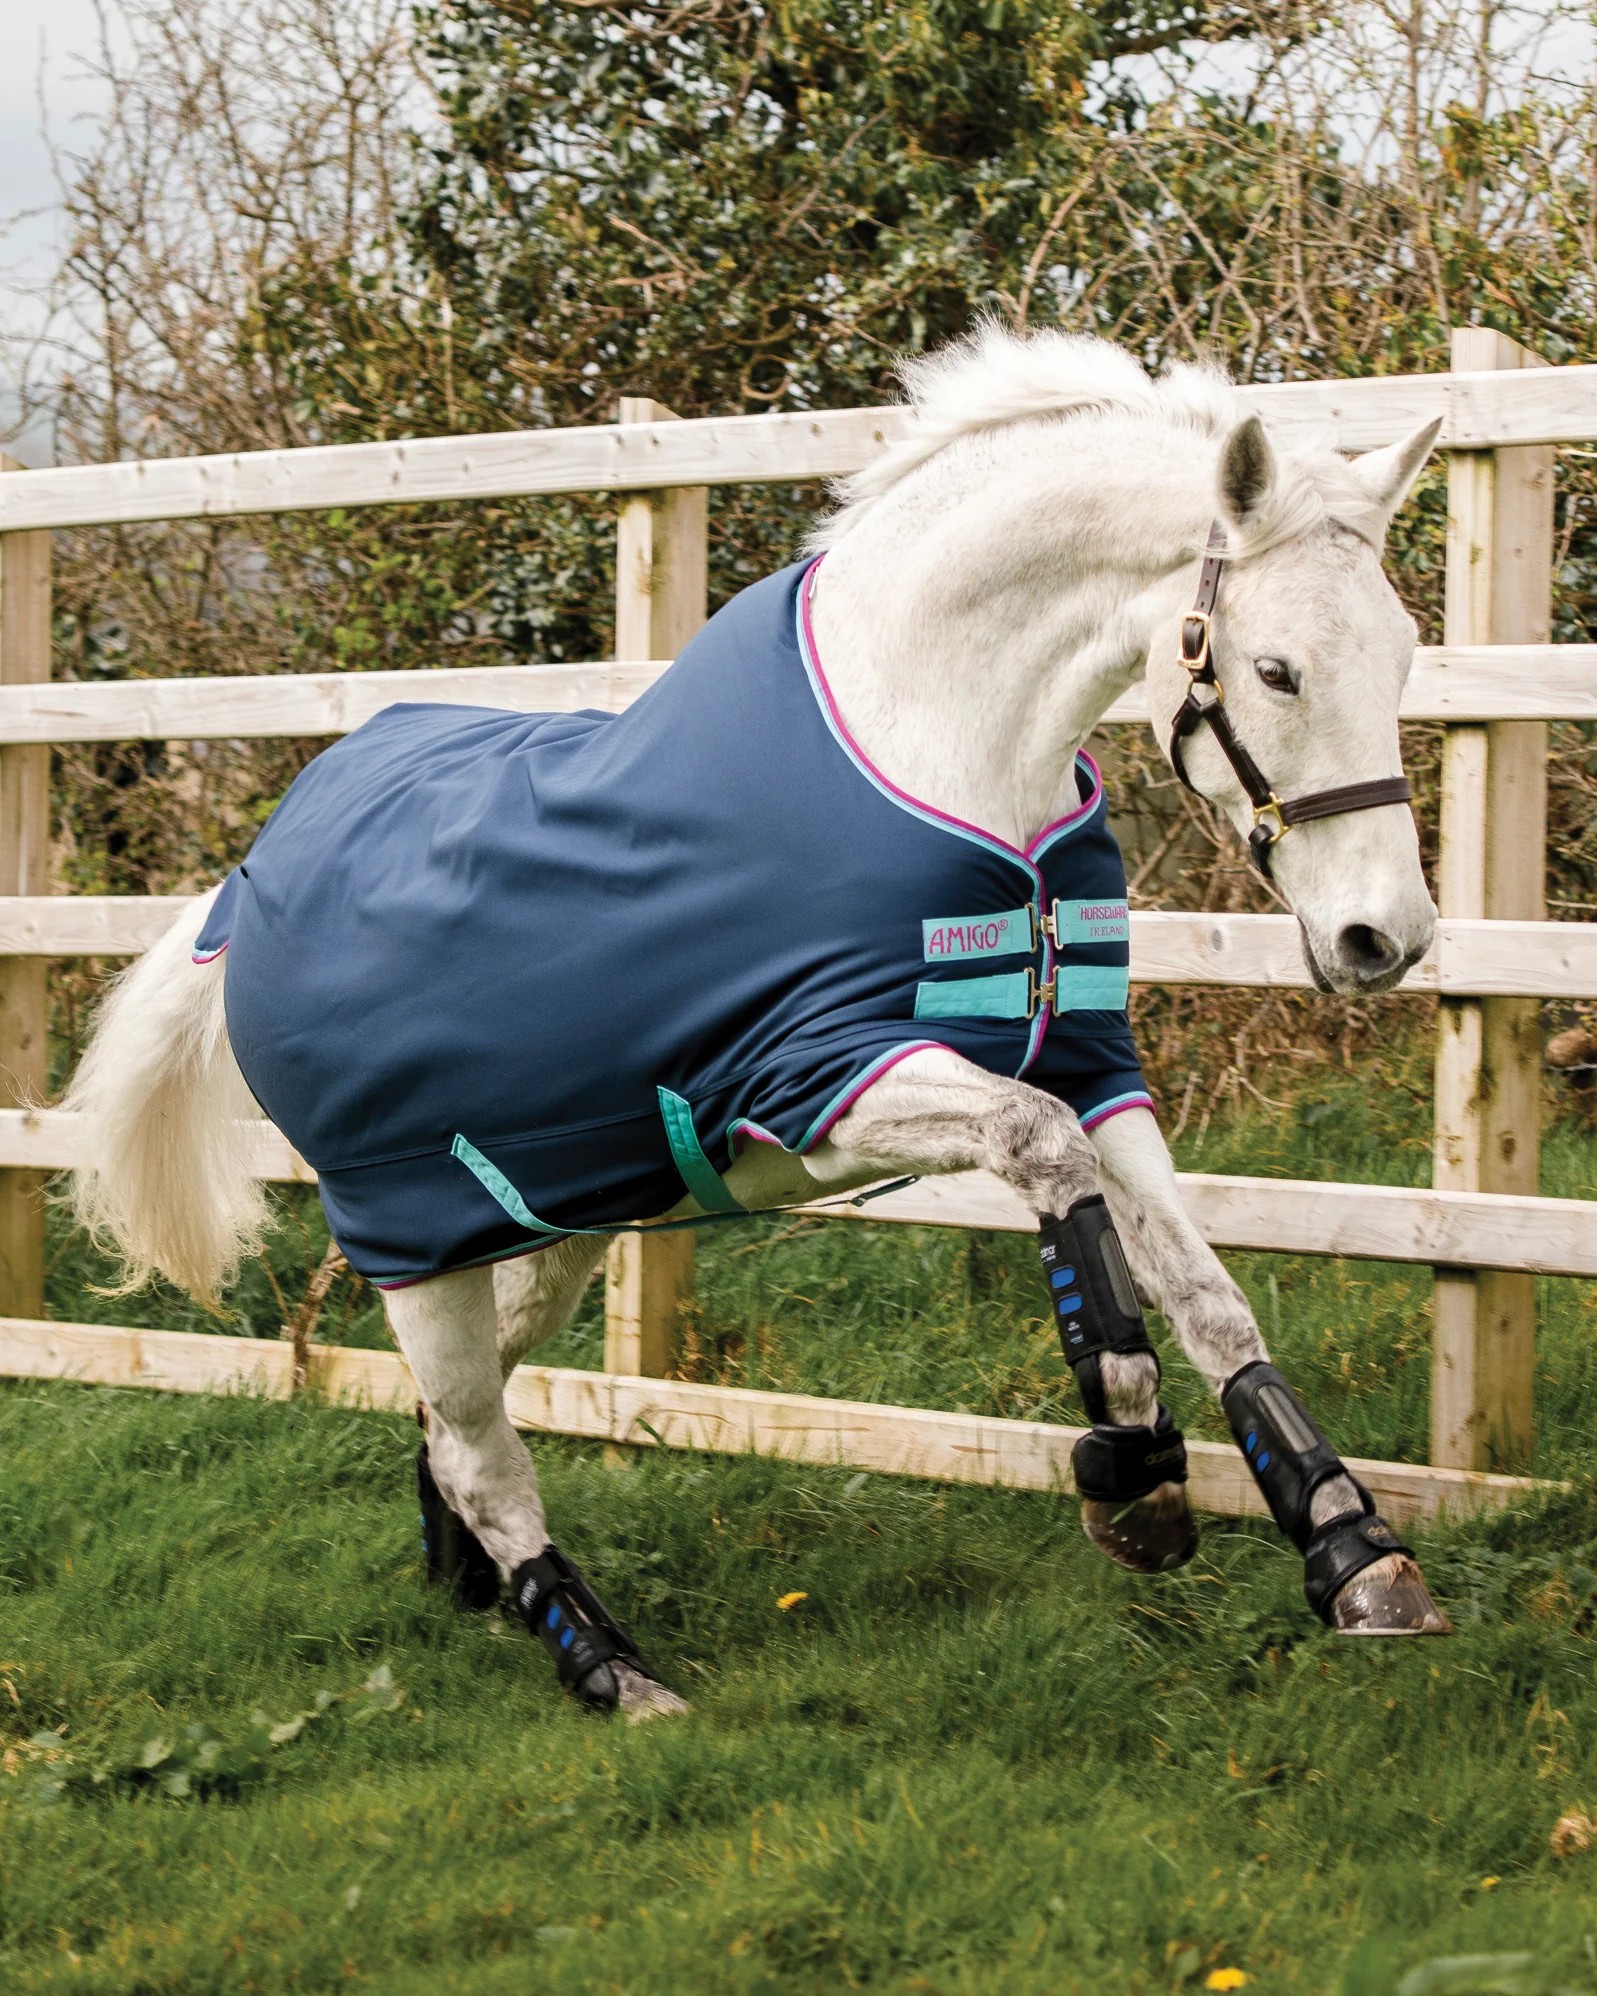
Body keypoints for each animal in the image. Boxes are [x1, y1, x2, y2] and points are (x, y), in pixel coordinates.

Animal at [66, 326, 1450, 1721]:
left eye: (1401, 651)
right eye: (1275, 669)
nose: (1383, 940)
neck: (938, 747)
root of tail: (243, 891)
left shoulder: (1092, 1066)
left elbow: (1207, 1294)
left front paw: (1353, 1550)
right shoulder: (824, 1083)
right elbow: (1046, 1162)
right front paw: (1136, 1475)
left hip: (544, 1230)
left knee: (464, 1427)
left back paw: (468, 1579)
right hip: (410, 1248)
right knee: (484, 1455)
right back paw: (611, 1670)